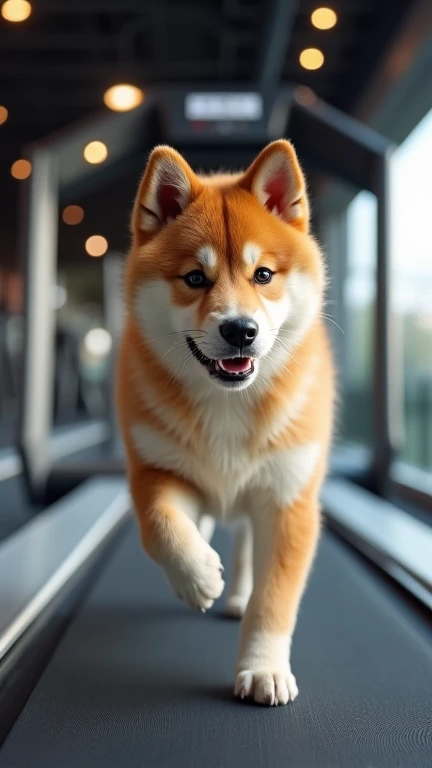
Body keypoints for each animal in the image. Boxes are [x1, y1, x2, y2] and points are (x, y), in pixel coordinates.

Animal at [117, 140, 334, 708]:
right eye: (195, 278)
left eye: (263, 275)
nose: (241, 330)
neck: (227, 405)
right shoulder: (157, 470)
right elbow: (161, 526)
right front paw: (195, 577)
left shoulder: (288, 501)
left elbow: (274, 599)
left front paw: (263, 667)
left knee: (246, 553)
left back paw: (237, 594)